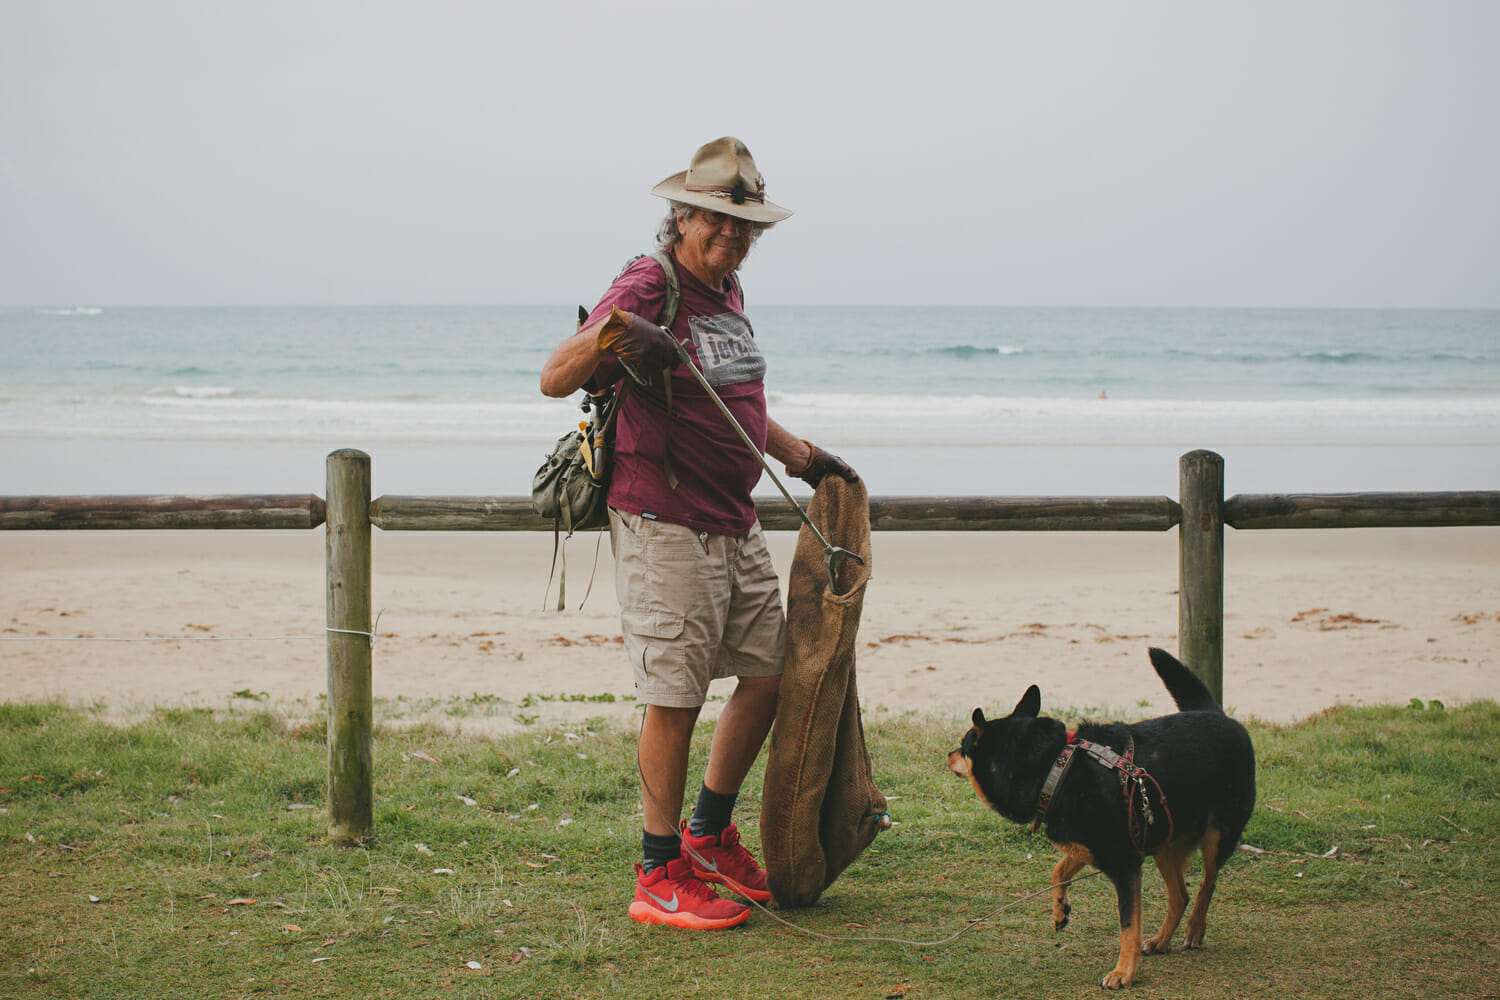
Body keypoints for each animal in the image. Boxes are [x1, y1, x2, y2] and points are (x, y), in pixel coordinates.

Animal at [948, 644, 1254, 989]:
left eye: (963, 745)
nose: (947, 755)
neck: (1054, 768)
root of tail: (1219, 714)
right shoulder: (1089, 847)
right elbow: (1058, 871)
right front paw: (1060, 910)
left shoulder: (1124, 865)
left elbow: (1128, 927)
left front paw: (1123, 972)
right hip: (1163, 840)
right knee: (1180, 896)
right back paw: (1161, 940)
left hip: (1217, 835)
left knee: (1207, 883)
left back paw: (1195, 929)